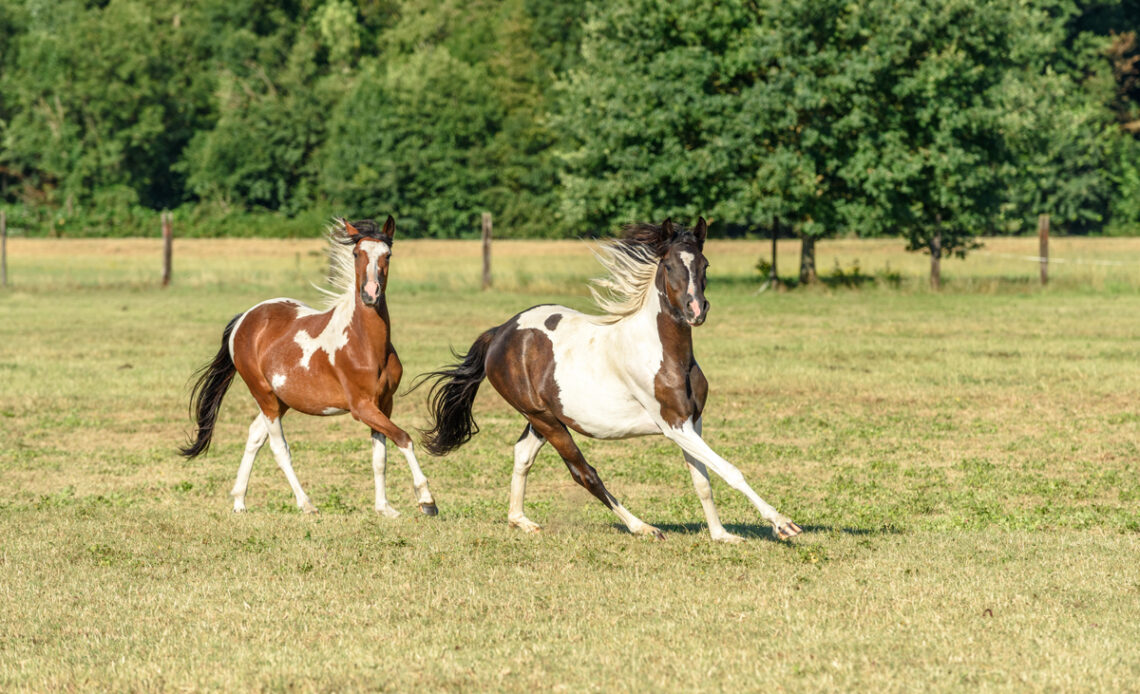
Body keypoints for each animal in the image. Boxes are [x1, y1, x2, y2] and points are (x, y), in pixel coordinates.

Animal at [182, 216, 435, 515]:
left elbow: (380, 458)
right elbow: (404, 438)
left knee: (255, 436)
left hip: (281, 399)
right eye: (356, 253)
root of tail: (246, 318)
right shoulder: (361, 407)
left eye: (388, 254)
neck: (365, 345)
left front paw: (385, 508)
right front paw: (427, 500)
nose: (370, 294)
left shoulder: (384, 403)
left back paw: (239, 502)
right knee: (279, 448)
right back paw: (306, 504)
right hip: (264, 395)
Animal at [419, 218, 802, 544]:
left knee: (522, 455)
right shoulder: (673, 425)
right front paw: (783, 524)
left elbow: (703, 480)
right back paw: (643, 528)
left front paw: (722, 535)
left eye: (704, 265)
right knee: (584, 473)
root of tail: (501, 332)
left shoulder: (693, 421)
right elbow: (729, 470)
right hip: (544, 419)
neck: (665, 355)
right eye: (669, 266)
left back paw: (521, 521)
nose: (696, 310)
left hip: (544, 418)